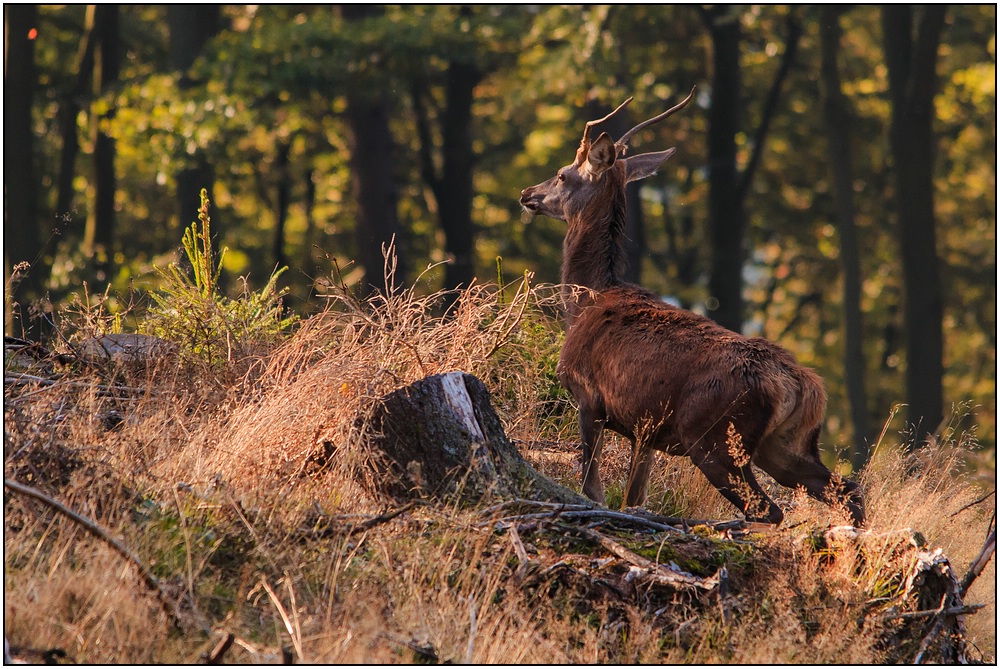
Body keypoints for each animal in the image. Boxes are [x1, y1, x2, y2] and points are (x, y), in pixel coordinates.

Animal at [520, 88, 864, 528]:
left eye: (563, 174)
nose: (527, 193)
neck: (585, 300)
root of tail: (800, 385)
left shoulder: (588, 397)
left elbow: (592, 489)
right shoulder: (645, 429)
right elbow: (632, 497)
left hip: (713, 436)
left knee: (767, 508)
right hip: (787, 444)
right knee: (848, 490)